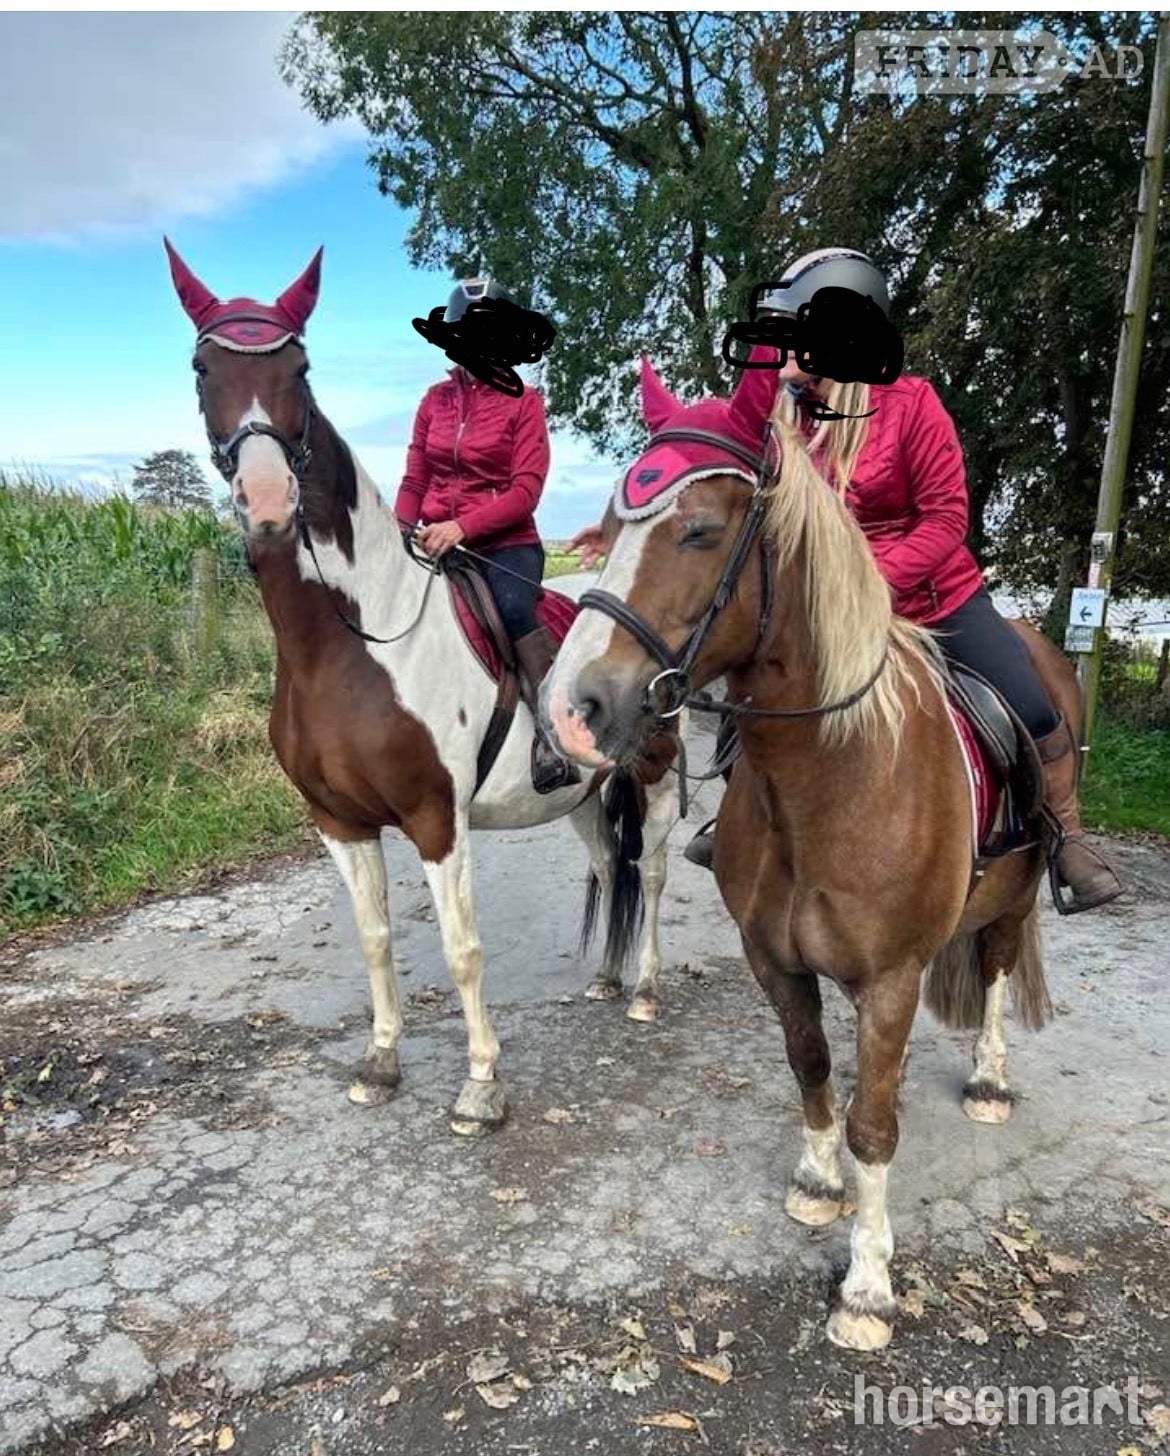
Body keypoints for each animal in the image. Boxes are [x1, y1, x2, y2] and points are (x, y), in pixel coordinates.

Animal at [165, 242, 680, 1133]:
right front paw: (380, 1061)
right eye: (203, 367)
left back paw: (645, 989)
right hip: (580, 793)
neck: (350, 647)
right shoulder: (338, 822)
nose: (266, 502)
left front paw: (481, 1085)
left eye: (300, 368)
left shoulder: (438, 820)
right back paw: (609, 981)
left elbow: (461, 949)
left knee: (647, 872)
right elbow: (375, 937)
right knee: (605, 861)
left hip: (652, 780)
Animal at [542, 359, 1075, 1350]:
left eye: (701, 530)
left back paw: (989, 1078)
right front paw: (820, 1182)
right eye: (607, 529)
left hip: (1019, 891)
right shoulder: (776, 961)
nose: (571, 711)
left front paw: (866, 1285)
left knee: (993, 964)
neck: (835, 781)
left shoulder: (893, 980)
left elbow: (876, 1124)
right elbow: (814, 1070)